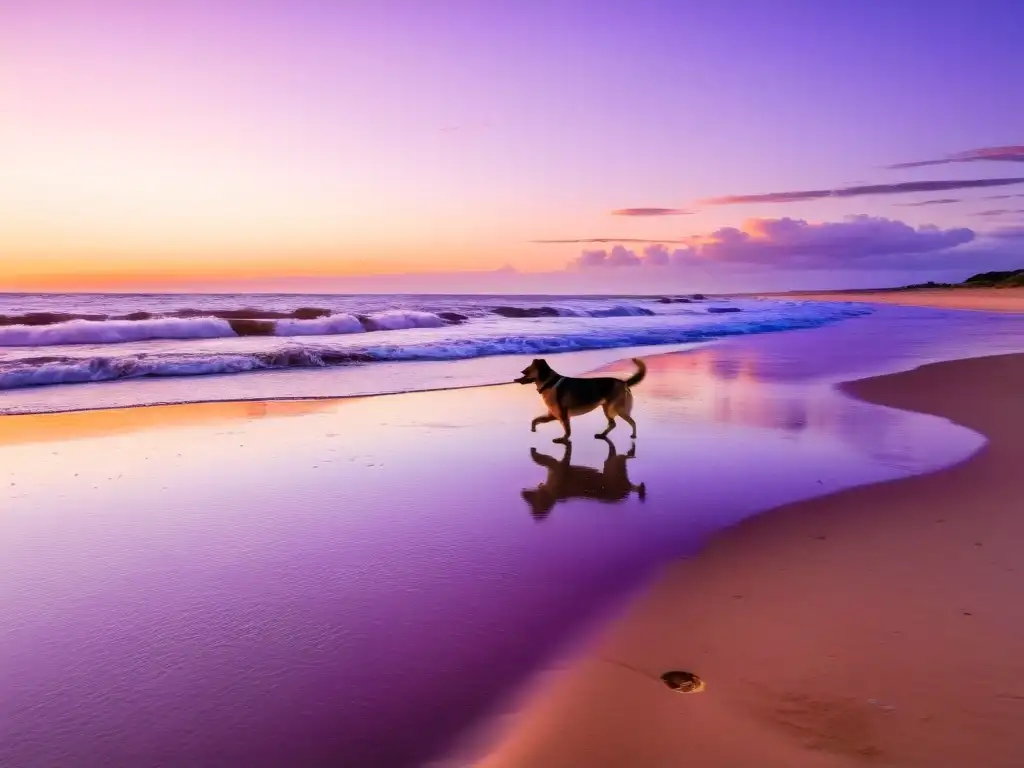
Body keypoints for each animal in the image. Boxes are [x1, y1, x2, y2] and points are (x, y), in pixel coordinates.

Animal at [512, 358, 647, 442]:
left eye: (528, 369)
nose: (520, 373)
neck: (550, 383)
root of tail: (624, 383)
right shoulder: (553, 415)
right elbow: (535, 420)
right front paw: (533, 429)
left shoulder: (563, 415)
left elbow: (567, 430)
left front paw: (563, 439)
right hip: (607, 408)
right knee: (613, 423)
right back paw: (602, 435)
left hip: (615, 408)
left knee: (631, 422)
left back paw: (633, 435)